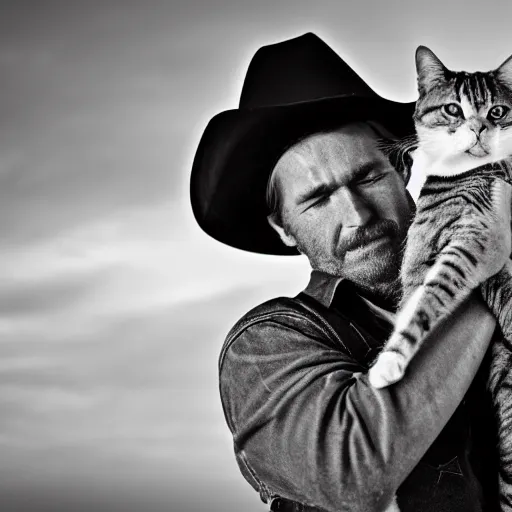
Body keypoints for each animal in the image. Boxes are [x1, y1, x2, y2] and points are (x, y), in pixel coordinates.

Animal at [368, 46, 512, 510]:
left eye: (498, 111)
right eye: (453, 109)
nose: (479, 128)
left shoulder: (475, 240)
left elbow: (428, 298)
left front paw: (389, 362)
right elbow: (416, 300)